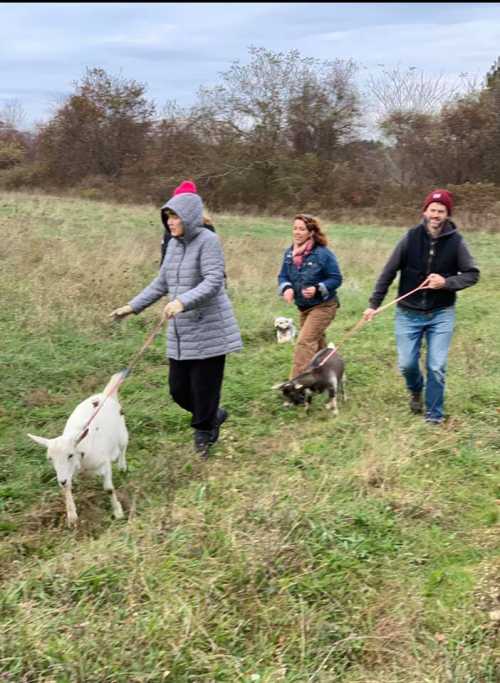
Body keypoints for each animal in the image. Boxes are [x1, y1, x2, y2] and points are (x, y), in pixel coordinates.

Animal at [26, 376, 129, 528]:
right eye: (50, 459)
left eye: (70, 455)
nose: (61, 481)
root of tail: (105, 394)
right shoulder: (67, 472)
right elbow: (67, 488)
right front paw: (72, 517)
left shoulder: (104, 464)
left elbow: (109, 489)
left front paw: (118, 512)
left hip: (122, 434)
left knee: (123, 448)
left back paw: (122, 466)